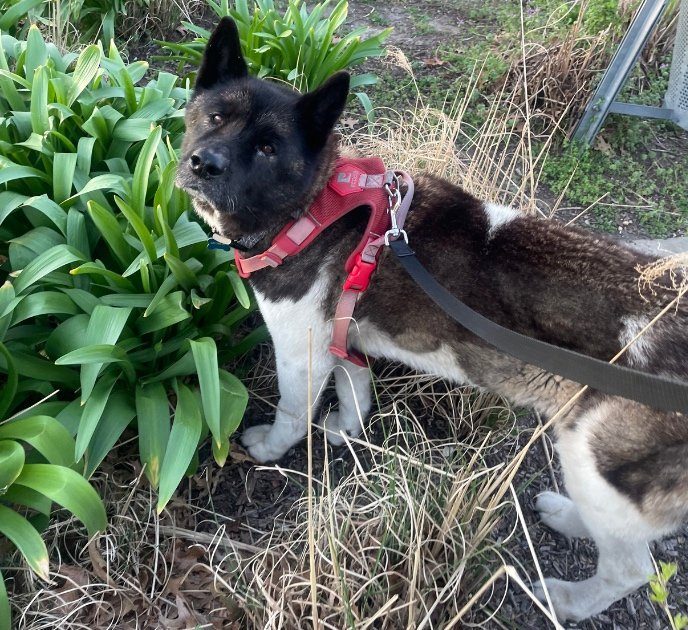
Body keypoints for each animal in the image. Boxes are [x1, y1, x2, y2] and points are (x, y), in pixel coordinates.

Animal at [177, 17, 688, 624]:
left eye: (267, 147)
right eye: (214, 117)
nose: (204, 163)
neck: (315, 206)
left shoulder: (302, 351)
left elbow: (293, 413)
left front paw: (270, 450)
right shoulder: (343, 333)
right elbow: (355, 386)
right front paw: (346, 428)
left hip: (597, 463)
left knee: (633, 568)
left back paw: (568, 598)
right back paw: (568, 517)